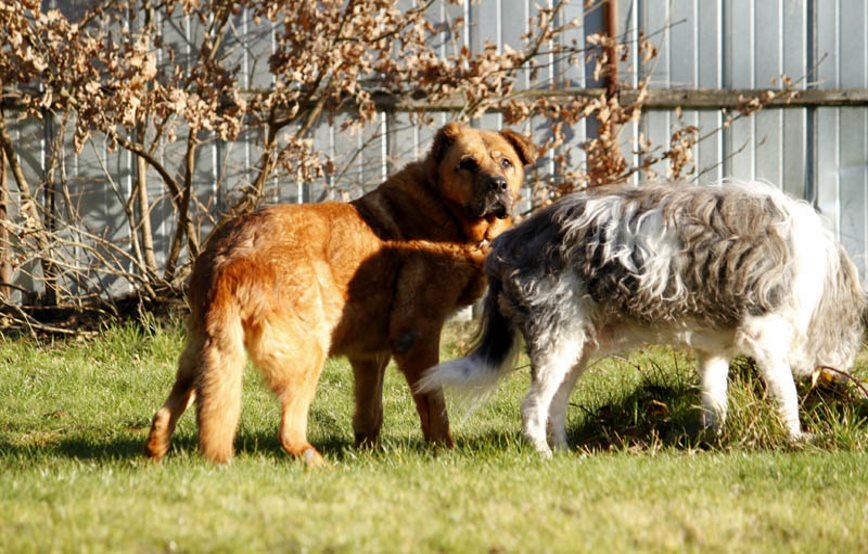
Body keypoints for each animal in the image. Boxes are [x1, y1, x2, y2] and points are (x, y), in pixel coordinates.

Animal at [145, 123, 537, 465]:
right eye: (467, 163)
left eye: (506, 162)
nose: (498, 185)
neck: (444, 209)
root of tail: (229, 256)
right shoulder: (417, 336)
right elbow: (434, 407)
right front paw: (445, 451)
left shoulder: (369, 356)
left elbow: (369, 413)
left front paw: (368, 455)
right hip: (308, 352)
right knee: (288, 431)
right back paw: (318, 464)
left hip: (204, 356)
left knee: (165, 414)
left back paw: (156, 458)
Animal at [420, 181, 865, 456]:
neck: (821, 275)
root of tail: (507, 242)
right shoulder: (765, 339)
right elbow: (786, 395)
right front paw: (796, 439)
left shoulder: (713, 354)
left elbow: (714, 404)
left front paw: (714, 442)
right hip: (555, 343)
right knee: (532, 406)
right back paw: (543, 455)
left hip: (574, 350)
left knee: (555, 407)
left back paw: (565, 453)